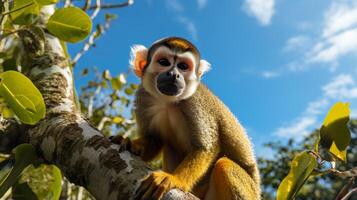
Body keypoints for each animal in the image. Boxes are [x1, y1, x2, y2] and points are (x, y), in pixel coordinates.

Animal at [112, 37, 262, 198]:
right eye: (164, 62)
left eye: (183, 66)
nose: (173, 75)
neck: (168, 101)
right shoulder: (143, 95)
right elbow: (154, 139)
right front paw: (130, 143)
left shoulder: (196, 101)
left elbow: (205, 147)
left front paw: (174, 178)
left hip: (249, 191)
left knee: (225, 165)